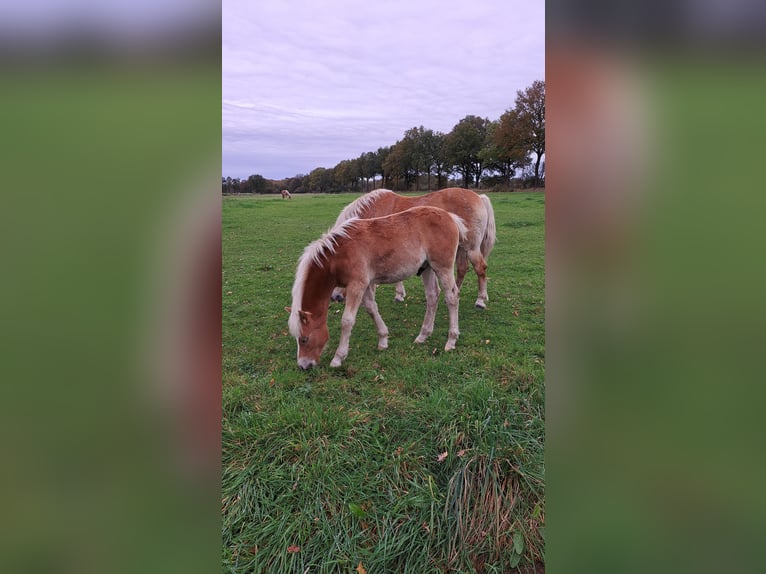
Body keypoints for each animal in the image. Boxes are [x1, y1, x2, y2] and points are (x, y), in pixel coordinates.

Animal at [290, 205, 464, 372]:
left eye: (304, 339)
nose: (303, 366)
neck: (339, 254)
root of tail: (450, 217)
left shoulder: (356, 285)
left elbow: (347, 321)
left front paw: (338, 358)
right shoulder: (366, 284)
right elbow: (371, 309)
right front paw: (383, 340)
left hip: (442, 267)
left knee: (452, 297)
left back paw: (451, 340)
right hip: (427, 268)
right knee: (432, 296)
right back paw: (423, 336)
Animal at [332, 189, 498, 310]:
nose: (336, 298)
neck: (372, 211)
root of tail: (478, 197)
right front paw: (399, 294)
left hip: (471, 248)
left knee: (480, 269)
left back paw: (480, 301)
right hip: (461, 248)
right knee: (462, 269)